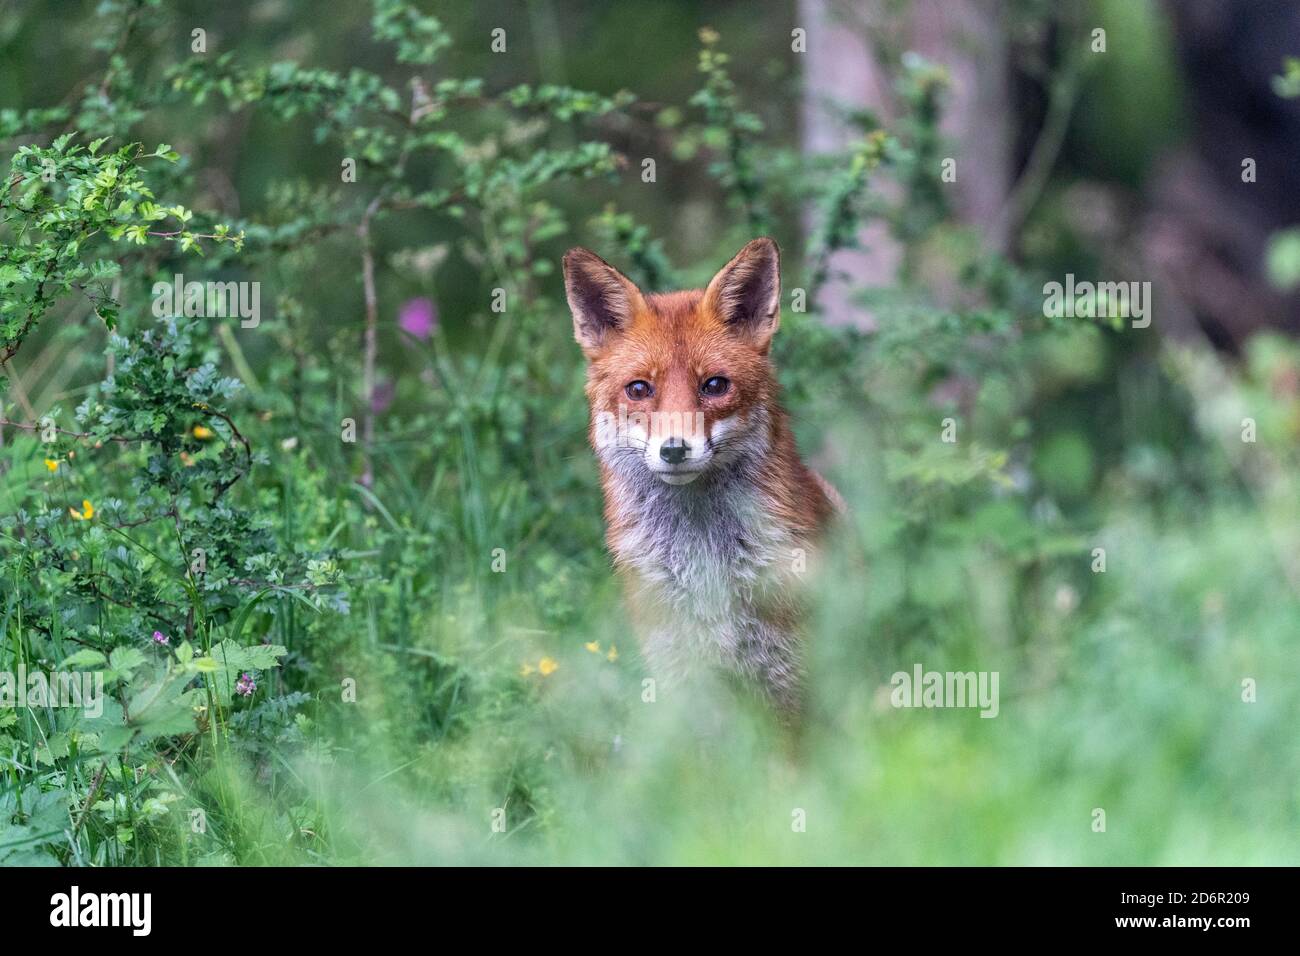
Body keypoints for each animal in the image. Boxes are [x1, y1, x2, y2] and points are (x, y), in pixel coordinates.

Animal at [563, 237, 843, 720]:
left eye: (714, 385)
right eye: (639, 389)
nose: (675, 449)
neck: (704, 560)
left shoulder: (792, 679)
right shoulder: (679, 678)